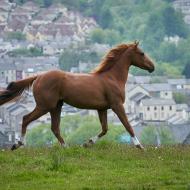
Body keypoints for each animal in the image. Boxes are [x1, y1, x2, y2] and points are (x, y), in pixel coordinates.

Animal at [0, 41, 154, 150]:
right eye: (142, 53)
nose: (152, 67)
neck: (112, 78)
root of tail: (38, 76)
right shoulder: (117, 105)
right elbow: (128, 125)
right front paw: (140, 146)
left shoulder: (102, 109)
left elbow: (104, 129)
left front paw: (87, 143)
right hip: (45, 106)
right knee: (26, 119)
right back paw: (18, 144)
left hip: (56, 107)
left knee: (54, 128)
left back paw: (66, 147)